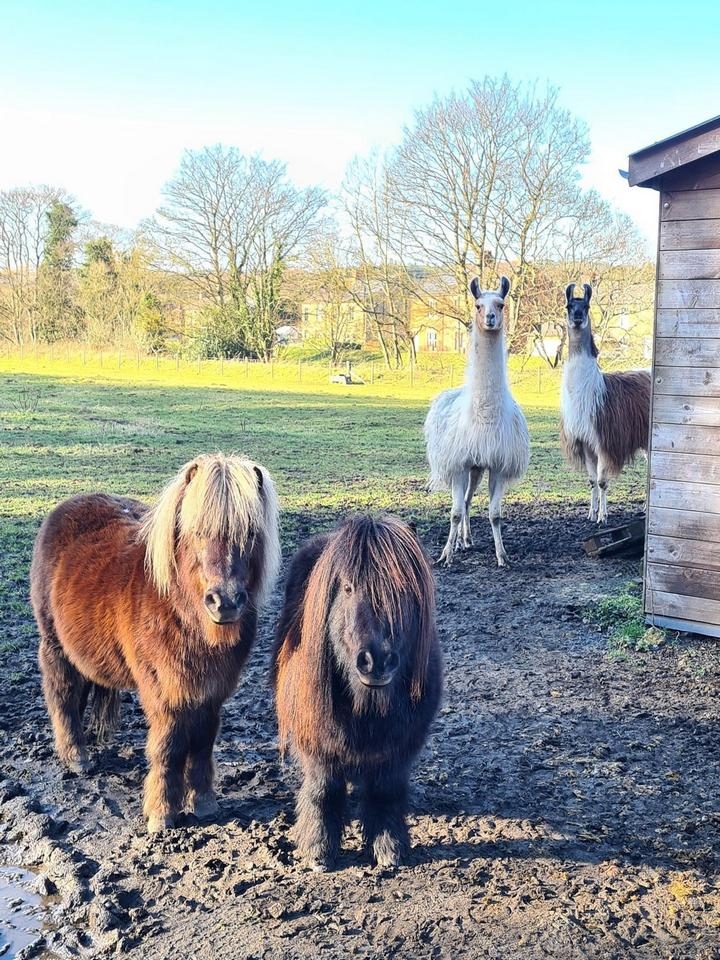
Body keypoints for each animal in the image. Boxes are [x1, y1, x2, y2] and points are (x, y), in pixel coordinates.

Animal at [31, 452, 278, 832]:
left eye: (250, 532)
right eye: (197, 531)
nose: (224, 602)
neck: (180, 610)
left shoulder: (210, 692)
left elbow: (202, 742)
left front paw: (204, 803)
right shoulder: (165, 693)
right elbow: (169, 747)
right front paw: (162, 813)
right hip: (55, 646)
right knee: (63, 696)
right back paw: (76, 757)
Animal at [270, 516, 438, 872]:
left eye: (403, 588)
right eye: (347, 588)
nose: (377, 660)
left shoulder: (398, 748)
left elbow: (385, 791)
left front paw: (388, 846)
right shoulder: (317, 744)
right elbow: (323, 791)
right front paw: (319, 850)